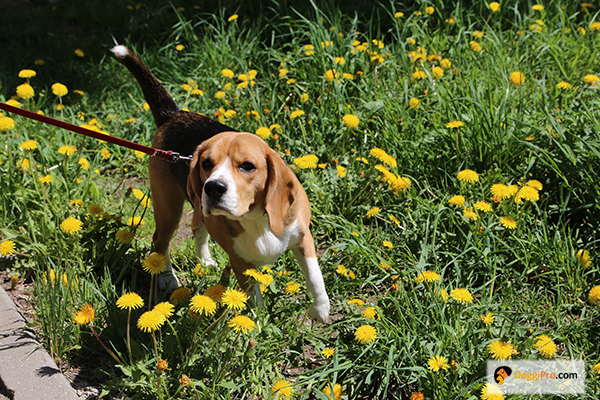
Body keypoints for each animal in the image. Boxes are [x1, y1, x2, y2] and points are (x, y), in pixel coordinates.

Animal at [110, 45, 330, 324]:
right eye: (206, 163)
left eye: (247, 165)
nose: (213, 187)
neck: (255, 217)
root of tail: (174, 114)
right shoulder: (240, 263)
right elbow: (255, 301)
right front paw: (257, 326)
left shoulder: (303, 238)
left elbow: (315, 276)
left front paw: (321, 310)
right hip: (169, 208)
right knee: (160, 242)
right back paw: (168, 279)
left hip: (195, 208)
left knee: (198, 229)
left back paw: (204, 261)